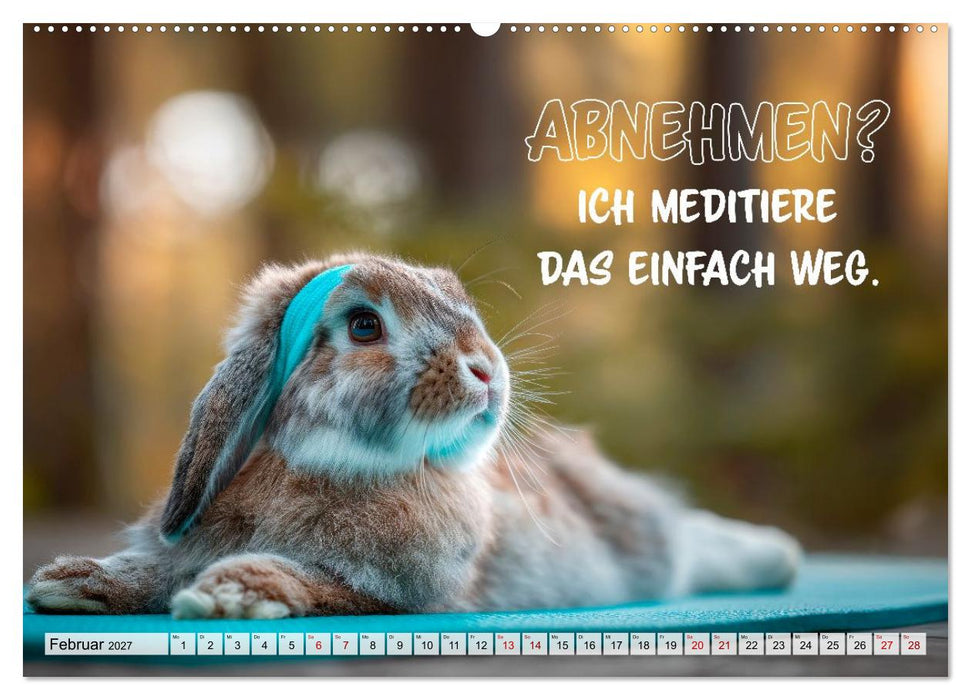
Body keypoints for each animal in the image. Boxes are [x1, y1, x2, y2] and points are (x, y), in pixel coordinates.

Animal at [27, 252, 800, 619]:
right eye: (364, 325)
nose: (487, 369)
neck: (336, 464)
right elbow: (158, 569)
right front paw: (77, 584)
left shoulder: (412, 594)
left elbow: (324, 585)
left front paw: (232, 593)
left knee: (690, 543)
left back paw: (779, 555)